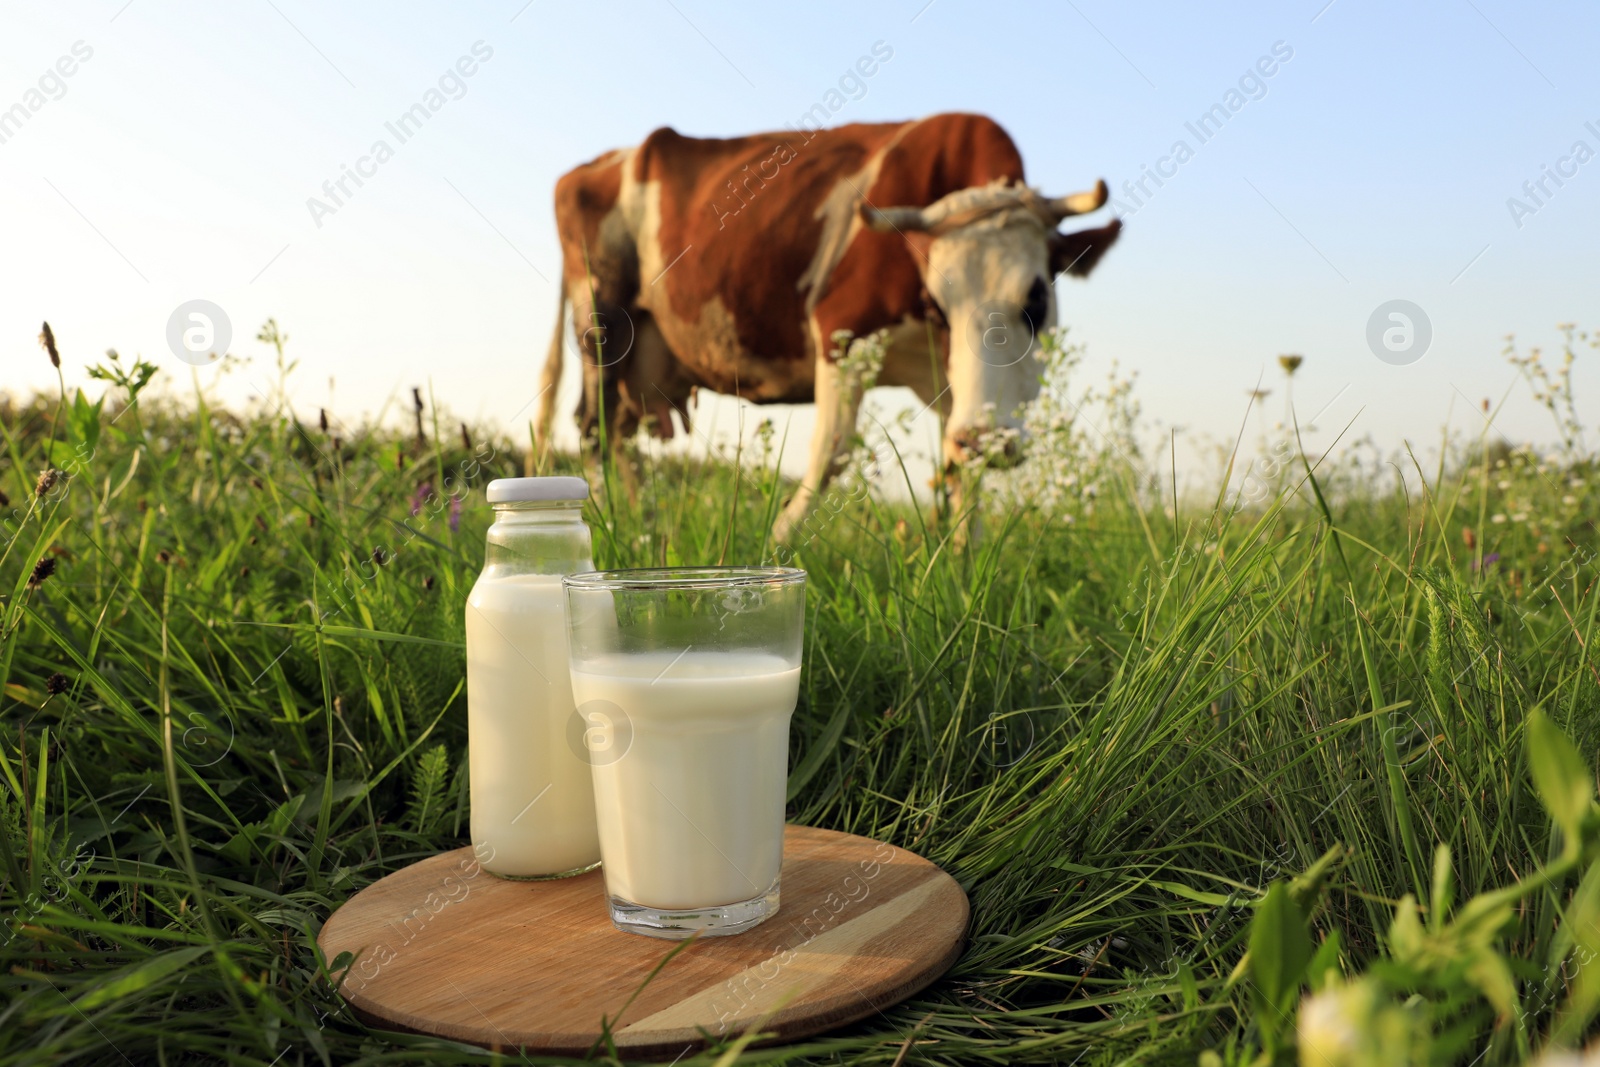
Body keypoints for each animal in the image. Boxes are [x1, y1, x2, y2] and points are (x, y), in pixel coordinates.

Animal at [531, 112, 1120, 537]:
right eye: (939, 301)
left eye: (1036, 298)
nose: (986, 439)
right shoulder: (841, 333)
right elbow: (831, 452)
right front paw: (778, 544)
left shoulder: (951, 384)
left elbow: (958, 471)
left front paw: (964, 563)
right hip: (602, 321)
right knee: (592, 428)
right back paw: (615, 527)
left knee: (621, 436)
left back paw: (644, 527)